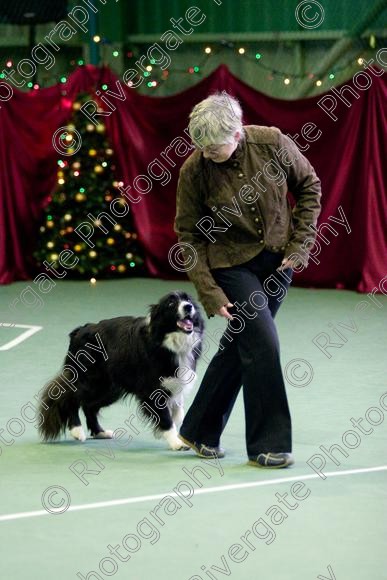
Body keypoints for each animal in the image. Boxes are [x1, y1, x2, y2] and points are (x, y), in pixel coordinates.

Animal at [38, 292, 205, 450]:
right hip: (89, 380)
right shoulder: (152, 390)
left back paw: (100, 432)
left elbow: (178, 412)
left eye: (188, 299)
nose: (188, 307)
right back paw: (77, 430)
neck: (168, 339)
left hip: (108, 387)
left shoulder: (175, 383)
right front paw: (176, 443)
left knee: (88, 406)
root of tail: (80, 330)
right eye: (171, 303)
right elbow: (166, 418)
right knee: (70, 398)